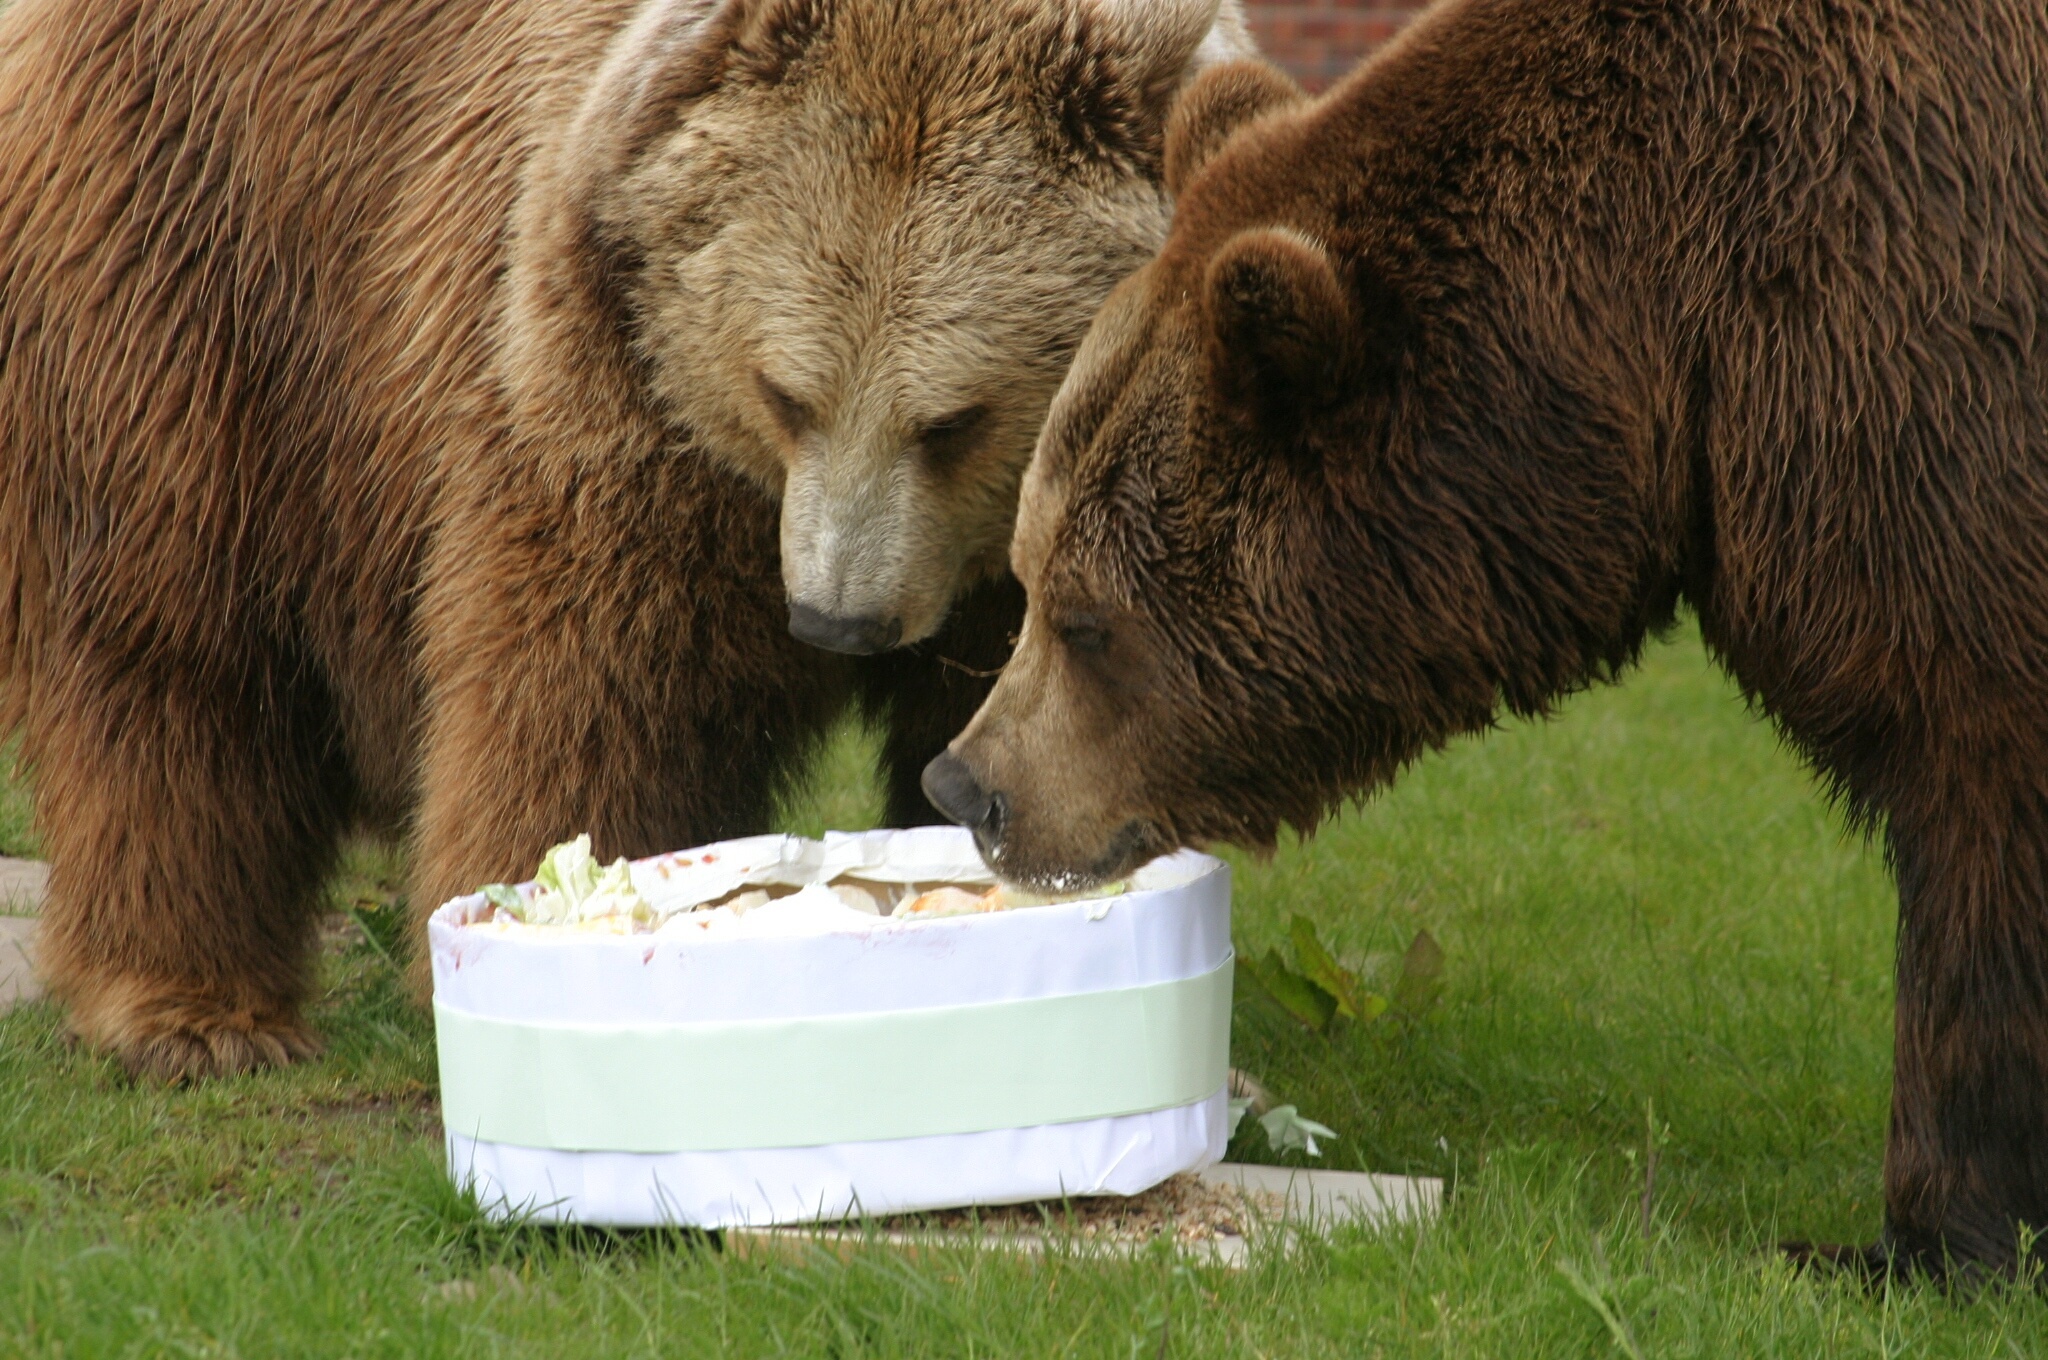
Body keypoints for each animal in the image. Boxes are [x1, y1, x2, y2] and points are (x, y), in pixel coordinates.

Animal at [0, 0, 1253, 1081]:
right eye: (785, 393)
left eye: (953, 420)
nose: (836, 617)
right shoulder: (622, 372)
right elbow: (594, 687)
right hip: (198, 242)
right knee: (175, 635)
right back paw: (188, 1009)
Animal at [929, 2, 2048, 1278]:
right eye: (1026, 576)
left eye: (1086, 620)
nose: (968, 783)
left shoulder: (1916, 365)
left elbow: (1972, 788)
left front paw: (1913, 1234)